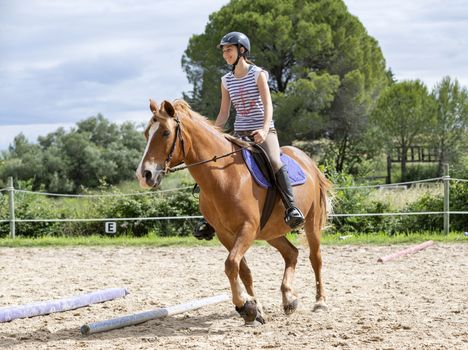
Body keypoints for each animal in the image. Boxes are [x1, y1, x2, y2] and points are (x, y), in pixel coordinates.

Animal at [135, 98, 330, 326]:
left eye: (165, 132)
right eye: (146, 134)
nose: (144, 175)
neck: (225, 176)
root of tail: (306, 159)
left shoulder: (247, 229)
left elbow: (230, 265)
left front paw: (244, 306)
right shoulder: (225, 233)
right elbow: (241, 269)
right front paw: (255, 308)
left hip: (311, 223)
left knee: (315, 258)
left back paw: (320, 302)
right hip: (270, 231)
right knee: (291, 253)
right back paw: (289, 299)